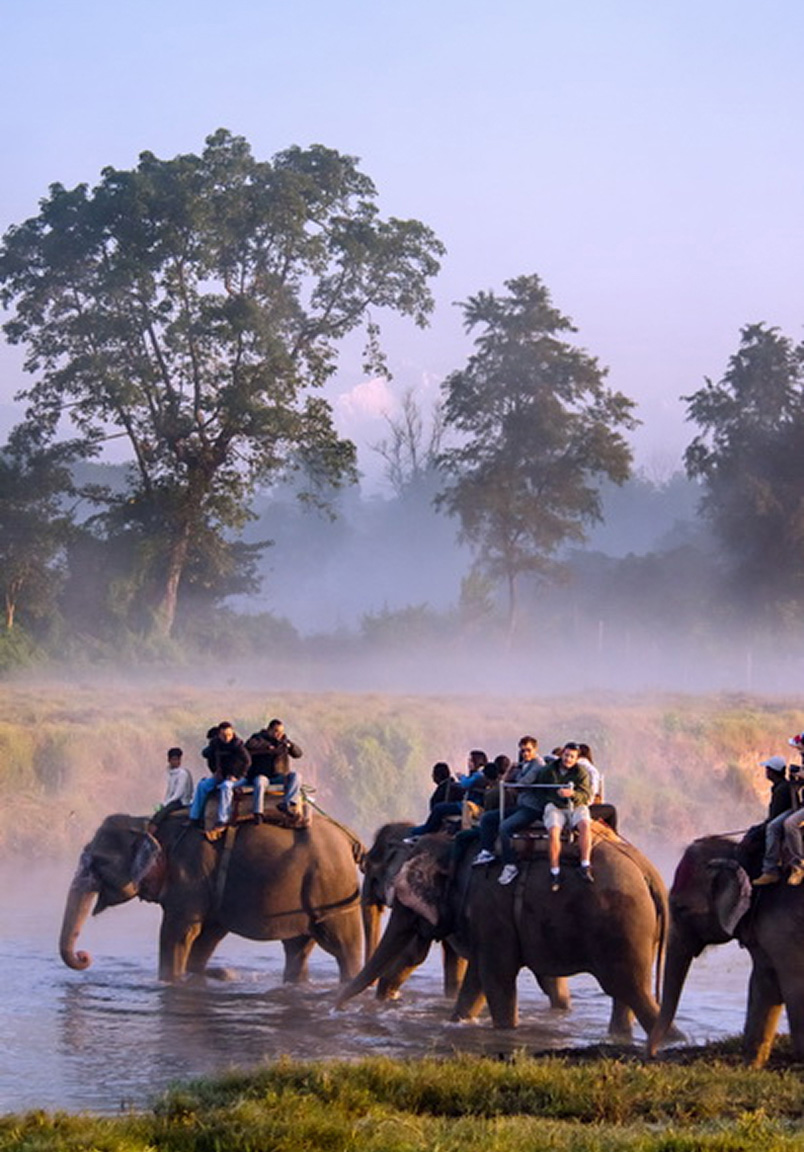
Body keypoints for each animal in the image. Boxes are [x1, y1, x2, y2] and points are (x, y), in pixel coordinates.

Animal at [59, 809, 366, 984]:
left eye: (97, 862)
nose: (84, 956)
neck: (150, 824)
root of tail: (350, 839)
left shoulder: (189, 873)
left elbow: (178, 933)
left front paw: (170, 981)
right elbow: (206, 936)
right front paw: (210, 974)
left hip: (332, 891)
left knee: (343, 946)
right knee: (297, 947)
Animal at [338, 826, 668, 1039]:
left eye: (402, 900)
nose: (335, 1008)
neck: (453, 846)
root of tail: (648, 871)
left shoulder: (489, 907)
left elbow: (496, 976)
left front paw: (505, 1030)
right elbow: (476, 978)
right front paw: (458, 1022)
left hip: (623, 925)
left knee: (631, 989)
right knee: (625, 993)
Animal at [648, 832, 804, 1068]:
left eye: (681, 908)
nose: (653, 1054)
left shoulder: (785, 930)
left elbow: (795, 985)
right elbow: (763, 983)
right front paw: (750, 1067)